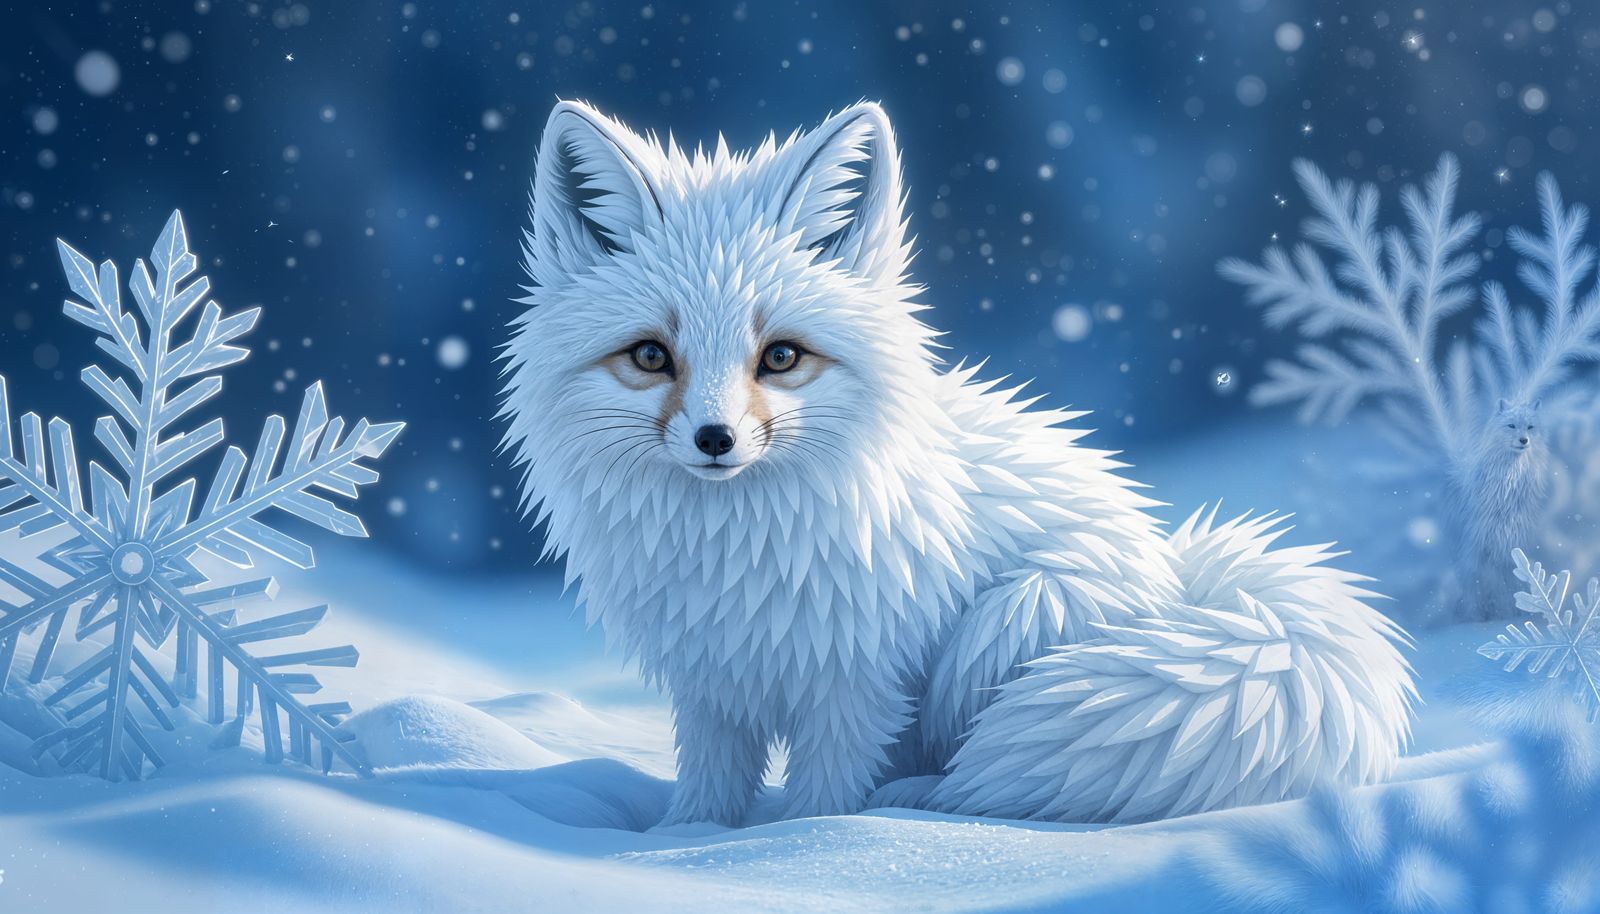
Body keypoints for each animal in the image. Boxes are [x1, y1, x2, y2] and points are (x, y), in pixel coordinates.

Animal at [501, 99, 1416, 826]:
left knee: (971, 770)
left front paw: (804, 844)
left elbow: (825, 795)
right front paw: (680, 844)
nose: (715, 440)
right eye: (651, 357)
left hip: (1014, 619)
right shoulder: (710, 686)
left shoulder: (860, 683)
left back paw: (924, 803)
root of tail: (1184, 581)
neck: (734, 558)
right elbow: (709, 792)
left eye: (782, 357)